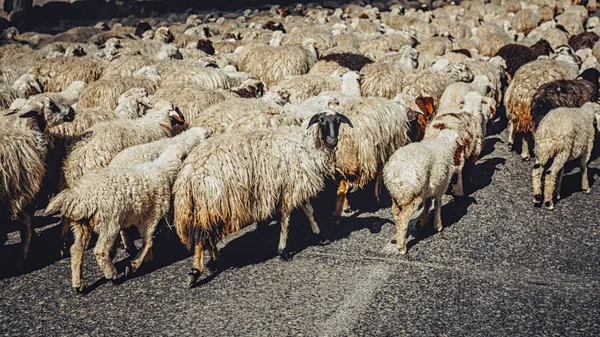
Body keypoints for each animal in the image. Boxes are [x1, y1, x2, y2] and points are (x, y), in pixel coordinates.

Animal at [172, 111, 352, 284]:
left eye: (338, 121)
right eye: (321, 120)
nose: (332, 140)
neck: (307, 144)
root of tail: (189, 172)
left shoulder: (295, 186)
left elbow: (309, 211)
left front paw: (318, 235)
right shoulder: (291, 187)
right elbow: (286, 220)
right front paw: (283, 251)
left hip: (207, 208)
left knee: (207, 236)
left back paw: (215, 260)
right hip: (211, 202)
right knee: (202, 237)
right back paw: (195, 271)